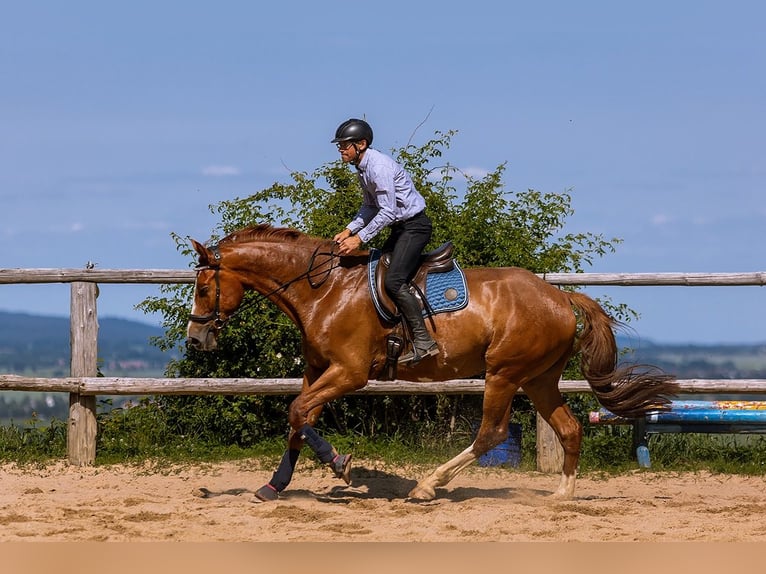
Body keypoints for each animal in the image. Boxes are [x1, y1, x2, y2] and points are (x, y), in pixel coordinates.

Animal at [186, 224, 677, 502]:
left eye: (204, 289)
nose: (195, 339)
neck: (322, 290)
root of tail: (559, 296)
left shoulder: (349, 373)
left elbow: (297, 413)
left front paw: (340, 463)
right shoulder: (317, 372)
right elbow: (299, 418)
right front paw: (273, 487)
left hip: (504, 373)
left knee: (491, 433)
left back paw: (427, 485)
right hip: (538, 378)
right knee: (569, 427)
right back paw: (562, 493)